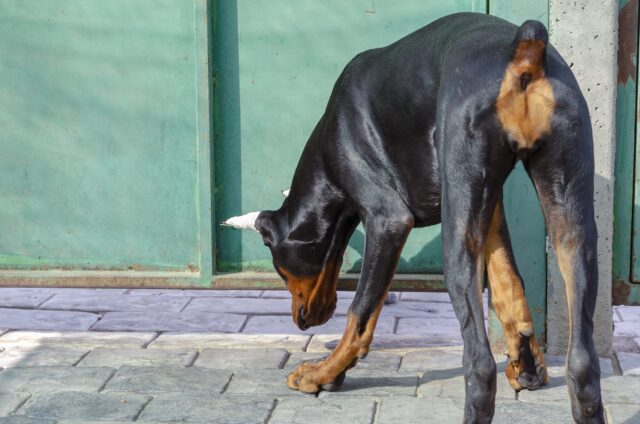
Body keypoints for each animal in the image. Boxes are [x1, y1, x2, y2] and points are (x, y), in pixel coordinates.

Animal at [225, 12, 604, 424]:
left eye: (279, 269)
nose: (301, 321)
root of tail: (522, 51)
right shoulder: (489, 208)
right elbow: (509, 287)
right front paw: (527, 369)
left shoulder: (387, 219)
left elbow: (361, 312)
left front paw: (323, 374)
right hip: (571, 218)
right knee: (583, 362)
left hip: (456, 241)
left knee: (478, 364)